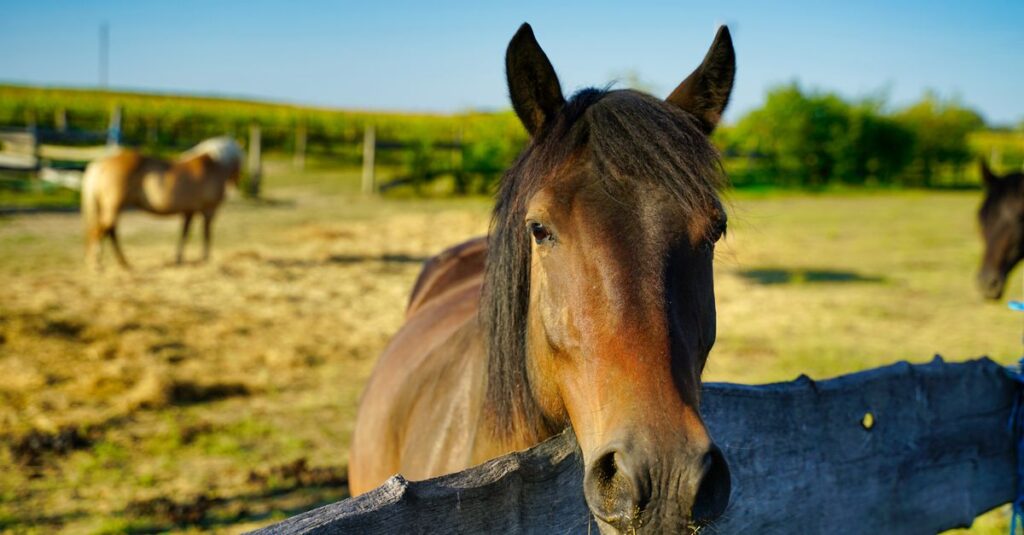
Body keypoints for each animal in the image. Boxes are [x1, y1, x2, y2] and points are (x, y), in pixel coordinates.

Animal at [80, 136, 243, 269]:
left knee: (109, 231)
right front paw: (205, 258)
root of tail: (99, 164)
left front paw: (179, 259)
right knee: (102, 231)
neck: (214, 165)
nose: (236, 185)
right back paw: (98, 264)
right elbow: (206, 233)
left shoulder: (189, 211)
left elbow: (185, 234)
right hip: (113, 208)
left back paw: (123, 263)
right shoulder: (209, 210)